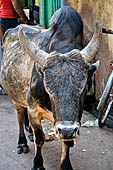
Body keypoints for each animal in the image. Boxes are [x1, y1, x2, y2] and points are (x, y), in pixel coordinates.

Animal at [0, 6, 102, 170]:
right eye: (48, 89)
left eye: (84, 89)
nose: (67, 130)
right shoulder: (34, 111)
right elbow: (40, 138)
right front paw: (37, 164)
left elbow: (67, 143)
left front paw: (66, 165)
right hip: (16, 98)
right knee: (20, 116)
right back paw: (22, 142)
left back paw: (29, 133)